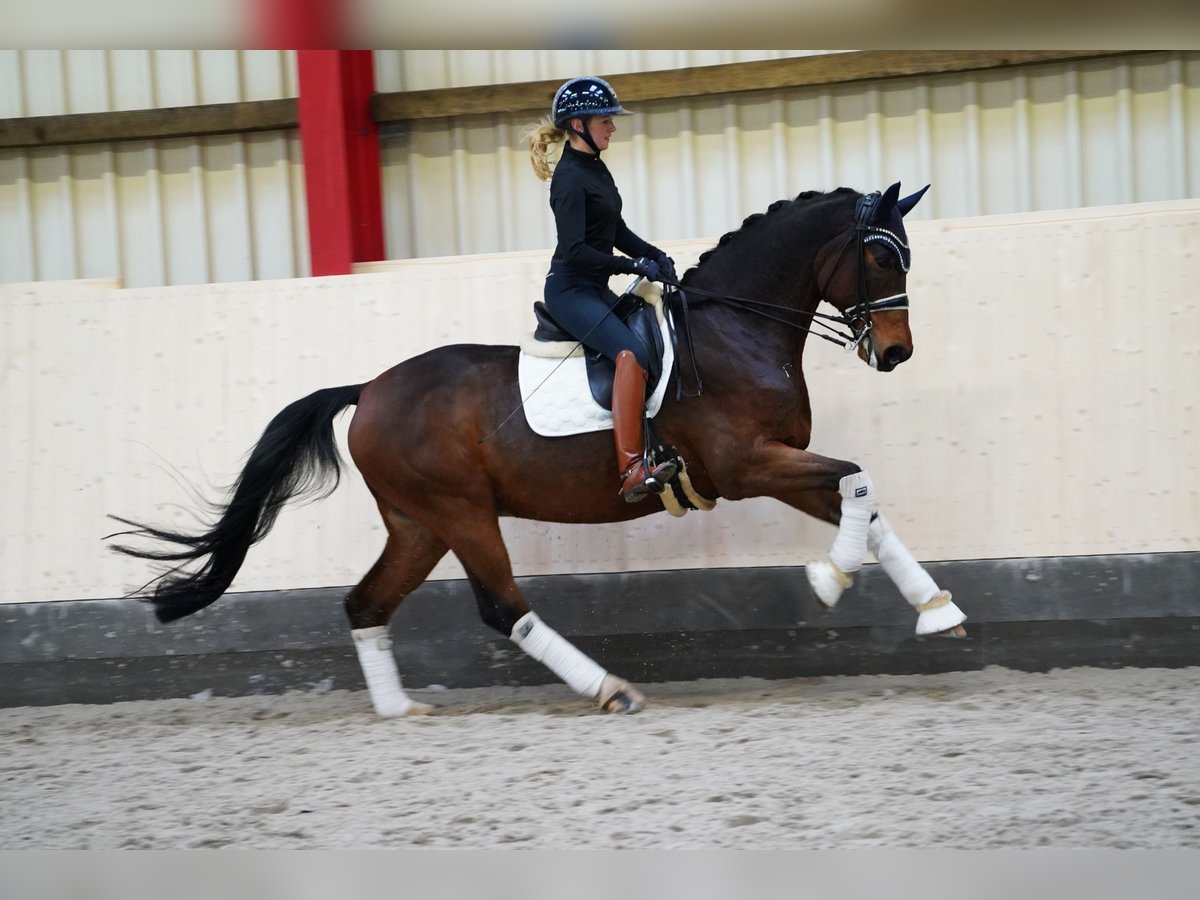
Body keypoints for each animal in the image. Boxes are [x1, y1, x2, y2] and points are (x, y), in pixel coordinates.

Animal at [105, 181, 964, 720]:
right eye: (880, 256)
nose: (896, 353)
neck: (737, 327)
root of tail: (368, 389)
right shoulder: (747, 464)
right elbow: (859, 483)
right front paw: (828, 580)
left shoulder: (773, 463)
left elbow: (864, 502)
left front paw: (936, 610)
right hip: (460, 511)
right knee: (501, 605)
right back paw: (611, 689)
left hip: (418, 523)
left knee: (366, 603)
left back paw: (399, 709)